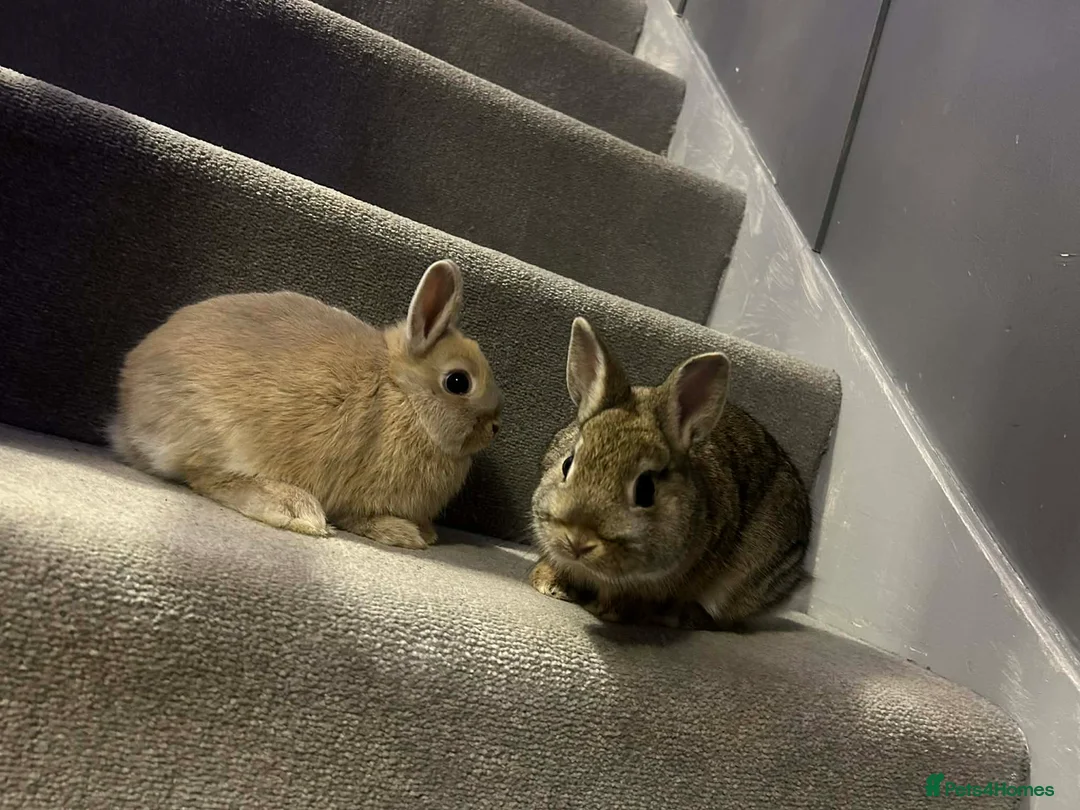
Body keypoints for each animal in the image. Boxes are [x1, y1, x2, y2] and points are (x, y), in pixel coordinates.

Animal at [110, 259, 501, 549]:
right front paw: (405, 534)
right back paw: (292, 509)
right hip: (218, 433)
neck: (403, 395)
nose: (495, 427)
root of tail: (126, 417)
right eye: (458, 382)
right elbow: (359, 517)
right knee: (206, 477)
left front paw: (426, 532)